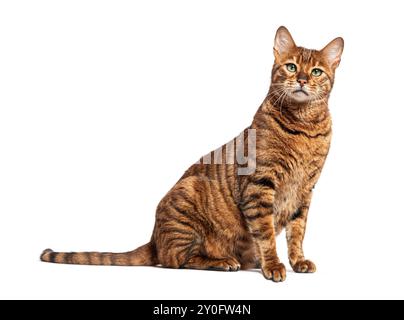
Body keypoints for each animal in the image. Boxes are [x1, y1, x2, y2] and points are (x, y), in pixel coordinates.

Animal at [41, 26, 344, 282]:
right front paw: (273, 265)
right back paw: (223, 261)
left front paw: (297, 261)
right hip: (188, 196)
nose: (302, 79)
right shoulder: (260, 185)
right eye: (291, 67)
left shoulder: (305, 190)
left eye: (316, 72)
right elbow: (266, 233)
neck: (304, 127)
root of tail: (154, 238)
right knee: (177, 260)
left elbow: (297, 232)